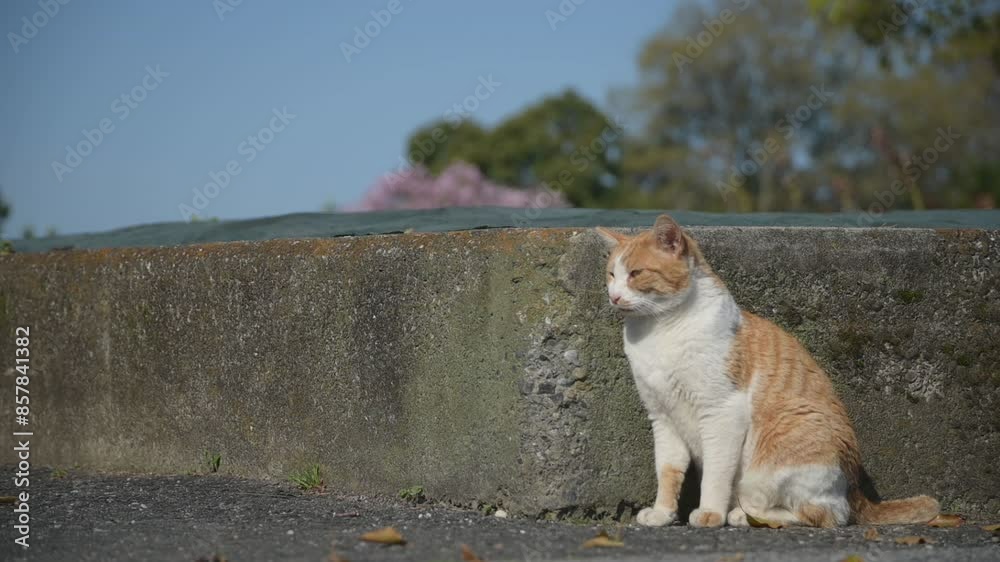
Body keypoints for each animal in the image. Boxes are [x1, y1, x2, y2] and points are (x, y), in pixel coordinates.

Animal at [596, 214, 940, 524]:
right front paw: (663, 513)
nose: (614, 296)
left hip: (774, 459)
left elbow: (716, 474)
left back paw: (744, 516)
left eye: (636, 273)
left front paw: (710, 513)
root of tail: (856, 492)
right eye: (612, 274)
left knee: (823, 515)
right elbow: (667, 472)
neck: (659, 331)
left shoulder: (721, 412)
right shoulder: (663, 418)